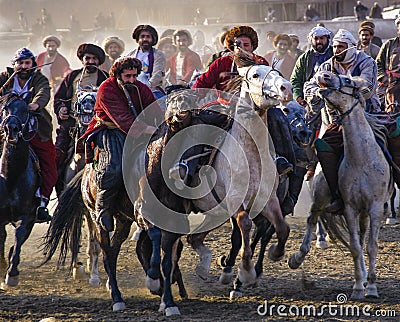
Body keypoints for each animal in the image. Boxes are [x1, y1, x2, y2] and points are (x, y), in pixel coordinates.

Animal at [290, 71, 392, 300]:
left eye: (348, 80)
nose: (324, 74)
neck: (362, 160)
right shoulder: (349, 208)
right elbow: (354, 247)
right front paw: (358, 287)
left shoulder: (375, 208)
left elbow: (371, 247)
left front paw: (371, 287)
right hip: (320, 199)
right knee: (312, 220)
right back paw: (298, 257)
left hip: (364, 214)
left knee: (362, 238)